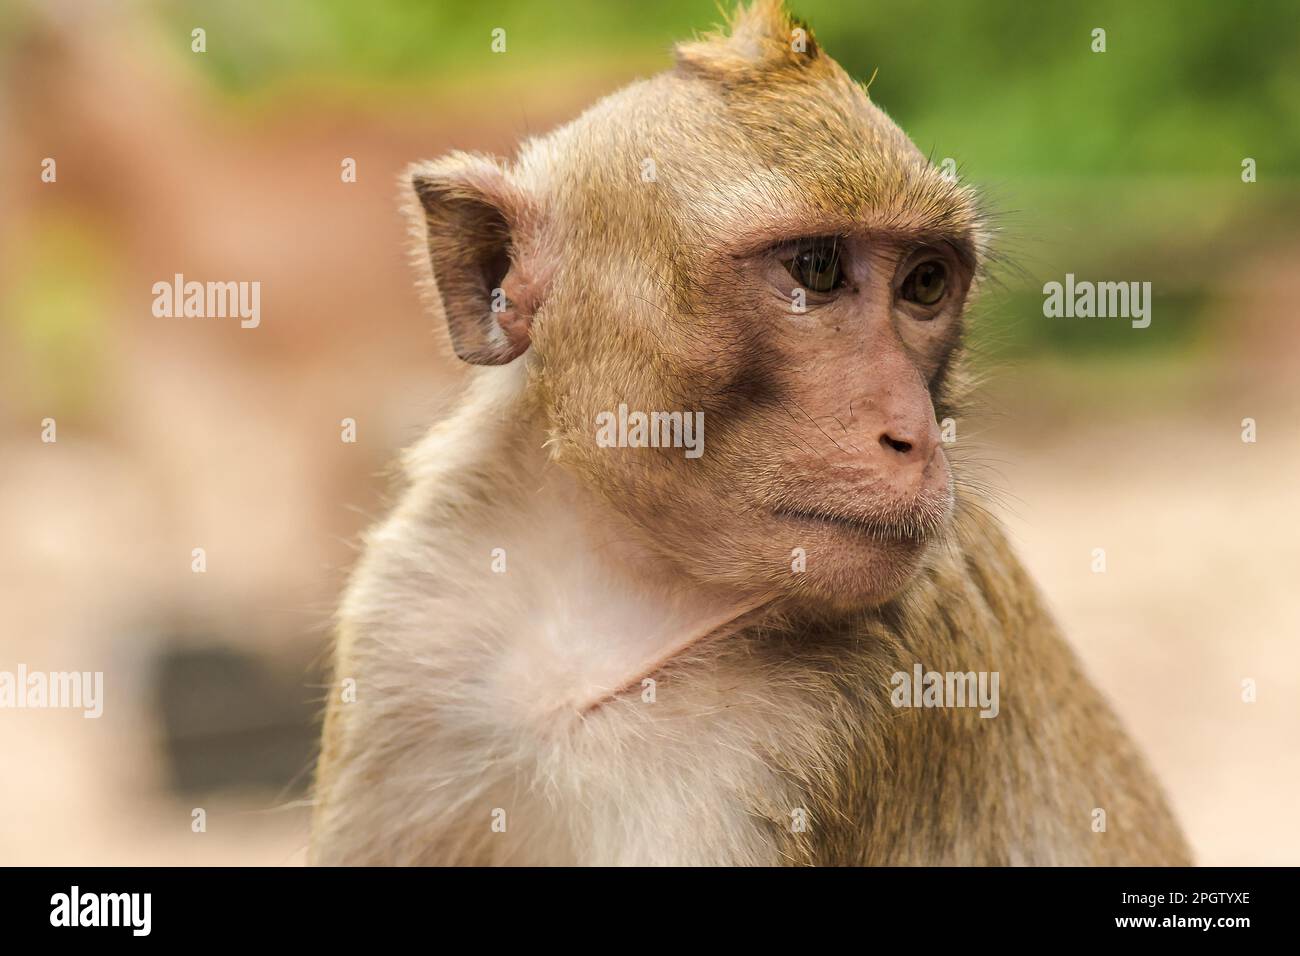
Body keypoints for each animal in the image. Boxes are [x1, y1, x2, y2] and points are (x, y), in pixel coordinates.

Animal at [310, 0, 1192, 866]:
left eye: (925, 284)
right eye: (817, 270)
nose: (913, 434)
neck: (621, 593)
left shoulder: (832, 722)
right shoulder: (411, 630)